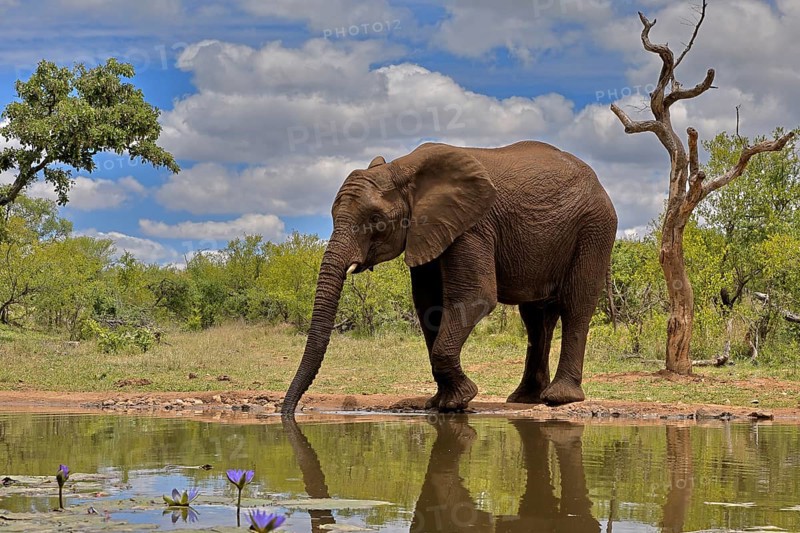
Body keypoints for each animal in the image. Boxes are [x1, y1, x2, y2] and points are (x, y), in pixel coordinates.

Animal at [281, 140, 617, 415]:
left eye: (376, 220)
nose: (288, 412)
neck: (403, 169)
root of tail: (599, 182)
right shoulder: (427, 229)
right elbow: (428, 304)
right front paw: (443, 403)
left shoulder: (472, 225)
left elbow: (475, 296)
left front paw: (461, 399)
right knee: (536, 318)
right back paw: (525, 399)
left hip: (594, 227)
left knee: (575, 305)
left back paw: (559, 399)